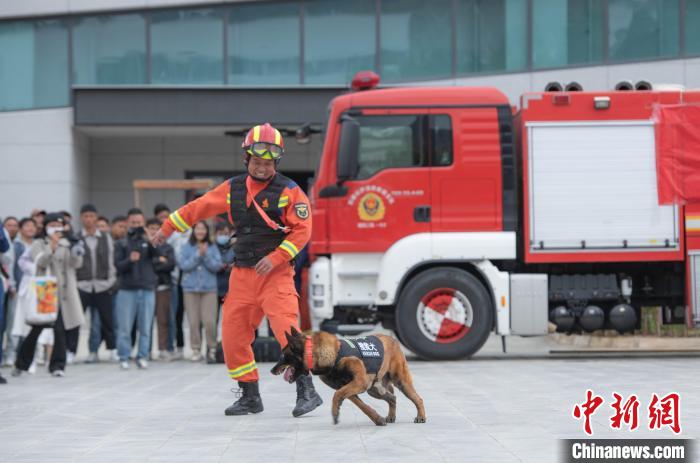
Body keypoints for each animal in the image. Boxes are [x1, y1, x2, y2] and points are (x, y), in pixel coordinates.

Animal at [272, 328, 426, 426]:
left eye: (284, 355)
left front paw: (335, 412)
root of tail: (392, 339)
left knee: (418, 399)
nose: (271, 370)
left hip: (401, 382)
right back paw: (391, 416)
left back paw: (421, 416)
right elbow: (362, 406)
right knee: (392, 398)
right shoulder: (350, 388)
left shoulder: (359, 383)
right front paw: (377, 419)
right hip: (374, 390)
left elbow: (336, 395)